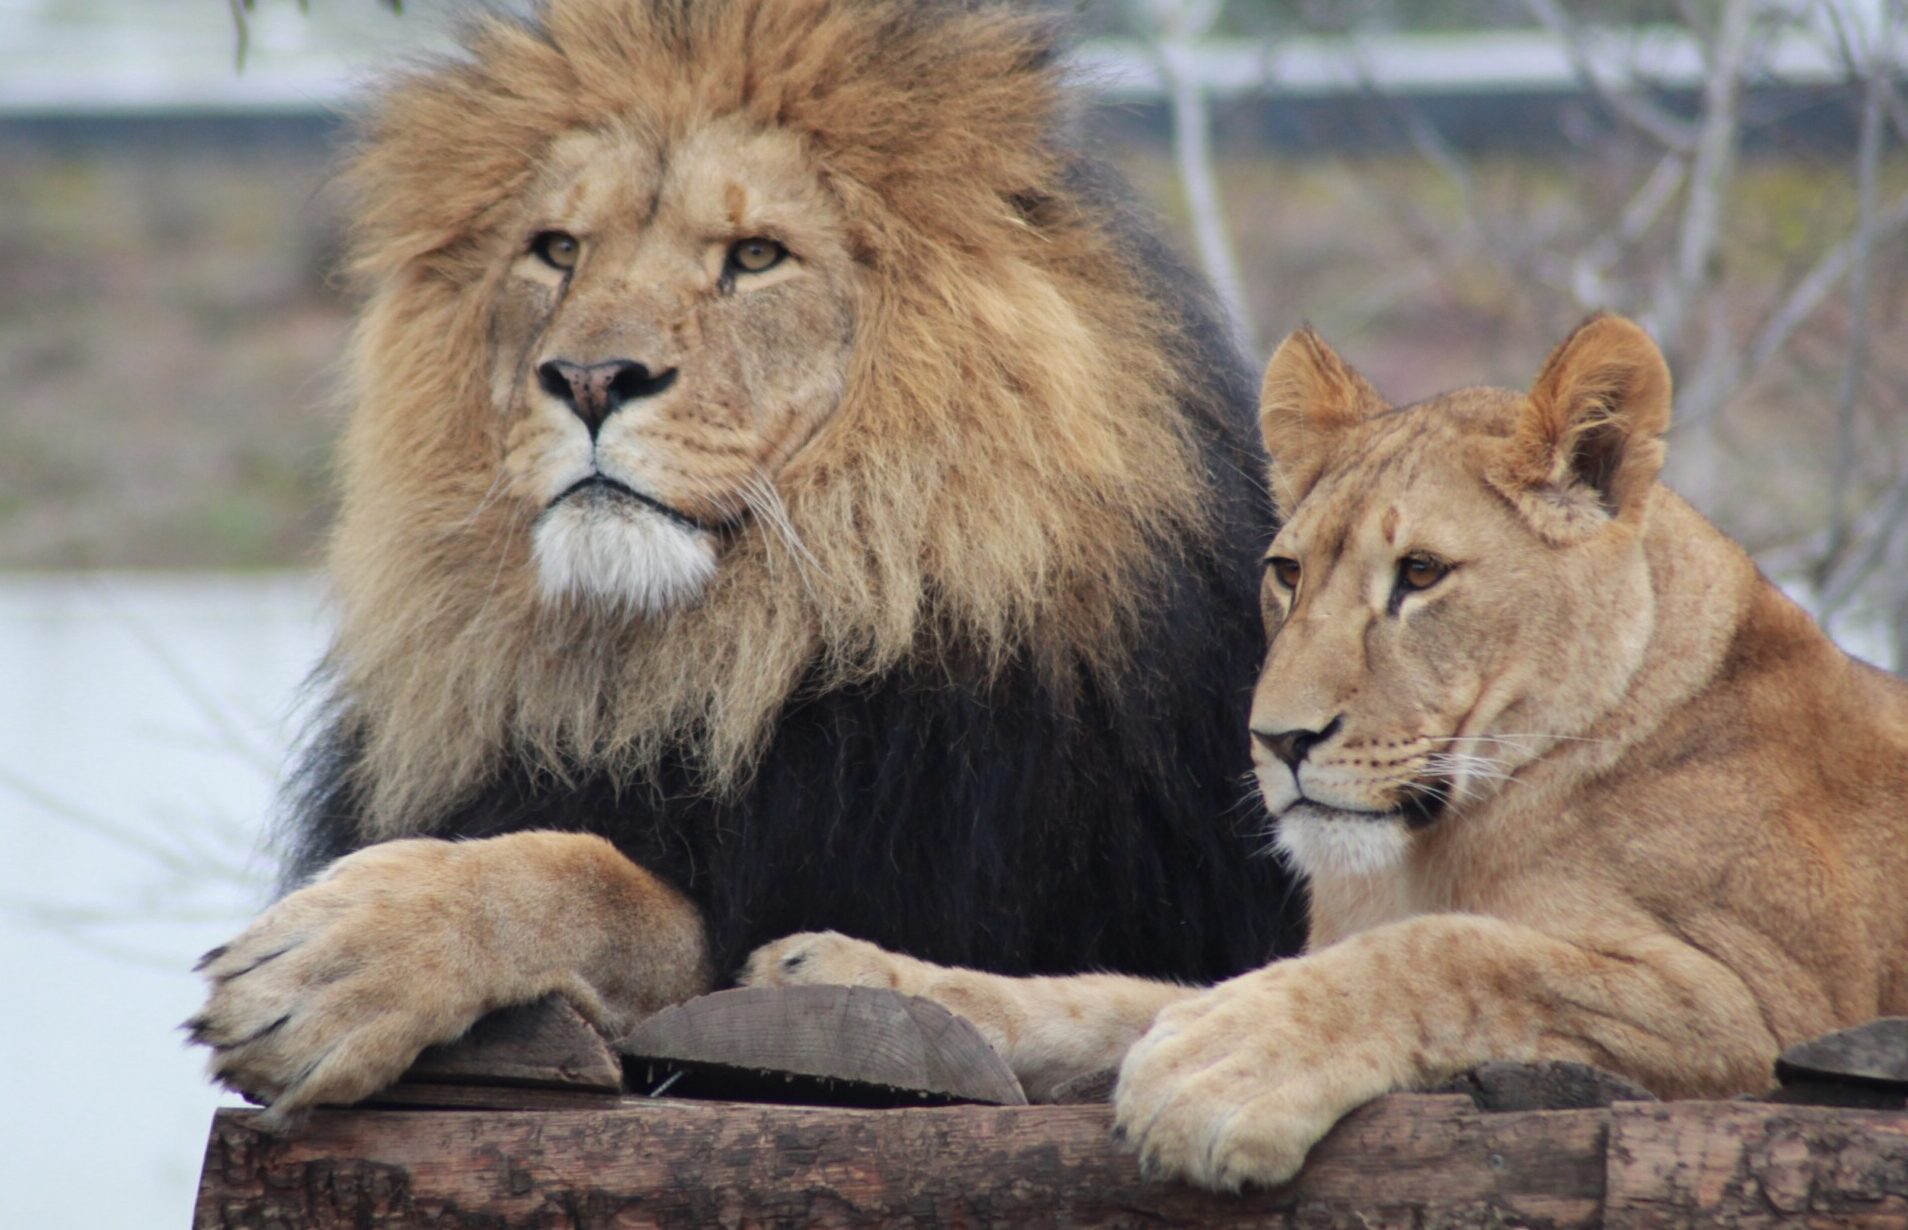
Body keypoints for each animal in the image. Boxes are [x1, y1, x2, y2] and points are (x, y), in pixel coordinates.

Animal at [185, 0, 1304, 1120]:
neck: (713, 656)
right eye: (556, 250)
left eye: (757, 256)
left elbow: (619, 889)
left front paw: (334, 959)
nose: (589, 379)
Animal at [747, 314, 1908, 1190]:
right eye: (1288, 573)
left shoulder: (1757, 1009)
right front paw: (845, 979)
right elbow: (1101, 996)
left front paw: (1225, 1071)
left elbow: (1462, 952)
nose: (1278, 739)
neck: (1432, 844)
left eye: (1422, 574)